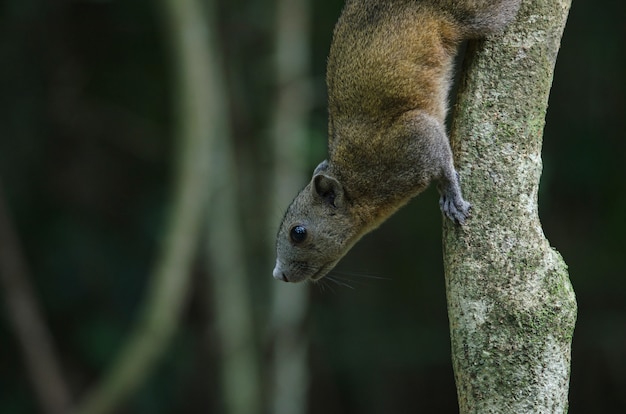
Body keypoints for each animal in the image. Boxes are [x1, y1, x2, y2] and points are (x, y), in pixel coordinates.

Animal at [270, 0, 520, 282]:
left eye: (298, 233)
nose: (279, 274)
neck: (358, 183)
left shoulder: (412, 135)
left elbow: (442, 163)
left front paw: (451, 196)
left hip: (475, 14)